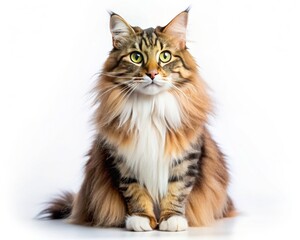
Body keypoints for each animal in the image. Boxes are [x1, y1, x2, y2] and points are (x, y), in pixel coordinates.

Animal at [40, 8, 234, 231]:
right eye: (136, 57)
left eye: (165, 56)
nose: (152, 73)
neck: (151, 108)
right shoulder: (122, 159)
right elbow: (135, 192)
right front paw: (141, 219)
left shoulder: (186, 157)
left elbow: (177, 190)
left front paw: (171, 220)